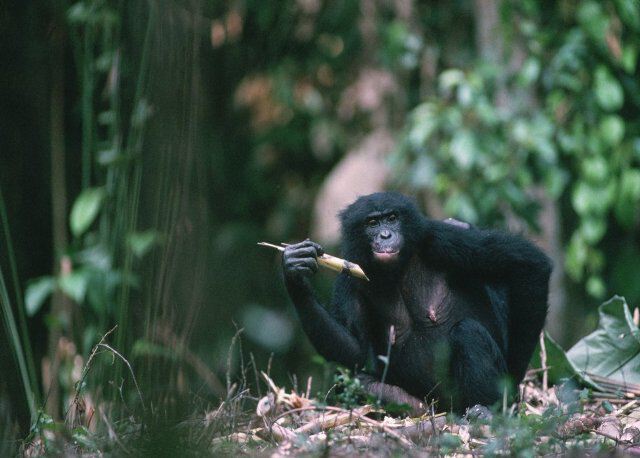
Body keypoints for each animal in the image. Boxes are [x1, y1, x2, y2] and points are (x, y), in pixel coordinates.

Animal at [282, 192, 552, 416]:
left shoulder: (443, 239)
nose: (385, 235)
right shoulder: (349, 277)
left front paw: (512, 385)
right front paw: (295, 271)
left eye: (392, 218)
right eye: (372, 223)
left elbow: (529, 264)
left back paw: (489, 411)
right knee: (356, 382)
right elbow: (353, 349)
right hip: (427, 405)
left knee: (469, 333)